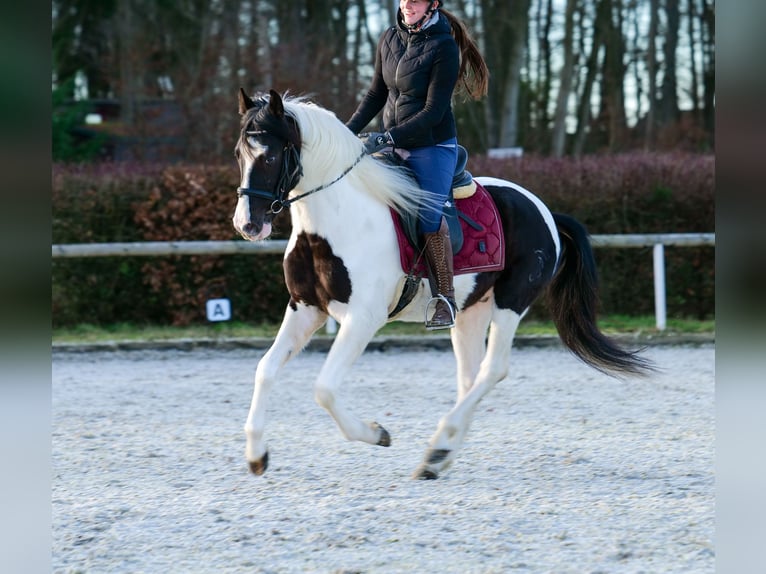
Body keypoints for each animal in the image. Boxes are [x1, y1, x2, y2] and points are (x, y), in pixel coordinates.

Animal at [234, 89, 656, 482]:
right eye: (240, 155)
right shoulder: (305, 309)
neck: (335, 221)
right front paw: (257, 455)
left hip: (511, 302)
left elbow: (323, 388)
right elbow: (265, 369)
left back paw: (438, 448)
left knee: (493, 370)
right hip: (469, 311)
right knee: (470, 377)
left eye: (269, 156)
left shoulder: (362, 319)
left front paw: (377, 433)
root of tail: (546, 211)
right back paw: (440, 456)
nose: (248, 225)